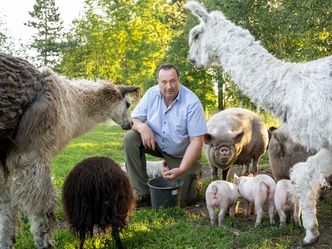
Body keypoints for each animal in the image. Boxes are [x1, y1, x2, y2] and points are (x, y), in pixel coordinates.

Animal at [185, 1, 332, 245]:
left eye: (196, 35)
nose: (191, 58)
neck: (291, 85)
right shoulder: (329, 143)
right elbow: (305, 174)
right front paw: (312, 232)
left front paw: (310, 232)